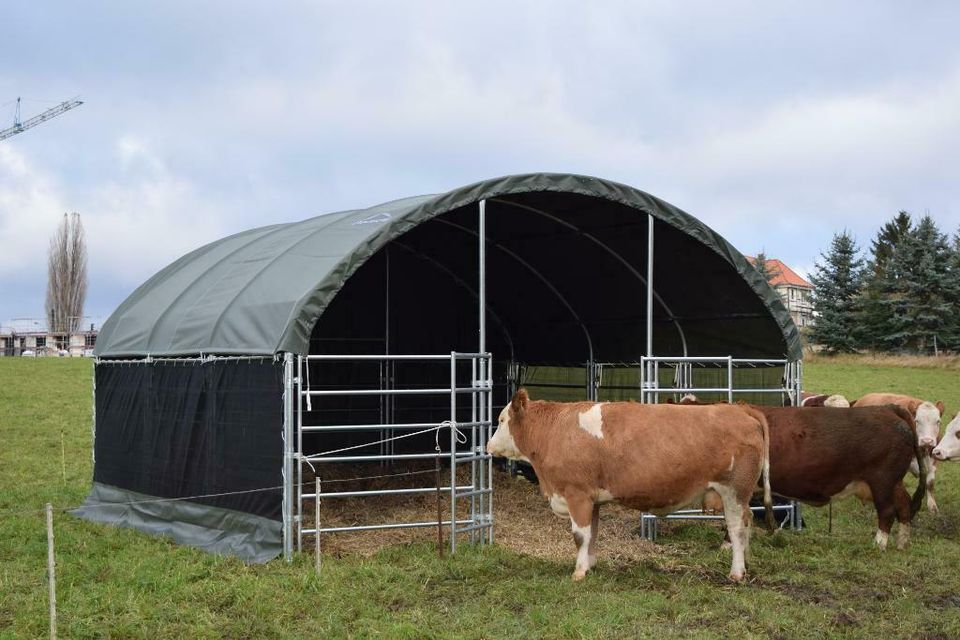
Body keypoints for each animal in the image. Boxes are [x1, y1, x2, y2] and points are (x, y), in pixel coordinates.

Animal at [488, 388, 772, 584]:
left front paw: (578, 573)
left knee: (736, 528)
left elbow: (580, 536)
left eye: (501, 420)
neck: (556, 429)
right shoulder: (592, 499)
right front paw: (590, 565)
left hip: (734, 491)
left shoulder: (577, 494)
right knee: (747, 522)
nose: (488, 446)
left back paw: (736, 572)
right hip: (739, 495)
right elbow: (593, 534)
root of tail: (740, 409)